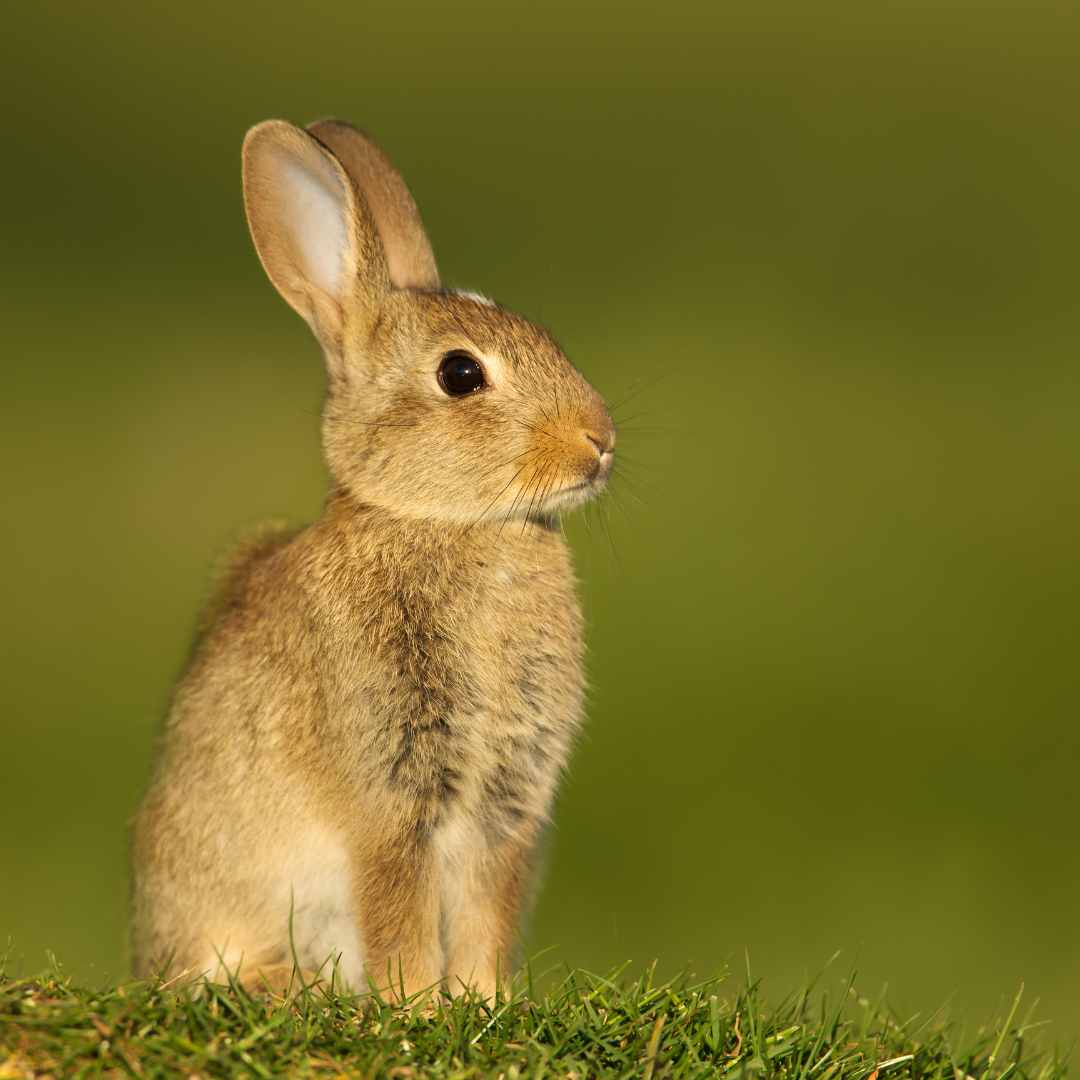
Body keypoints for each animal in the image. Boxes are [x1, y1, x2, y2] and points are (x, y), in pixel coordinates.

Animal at [130, 117, 615, 1000]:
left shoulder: (507, 804)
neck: (452, 523)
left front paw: (482, 1000)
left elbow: (487, 908)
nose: (599, 441)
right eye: (460, 374)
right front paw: (417, 1006)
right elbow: (398, 902)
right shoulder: (389, 789)